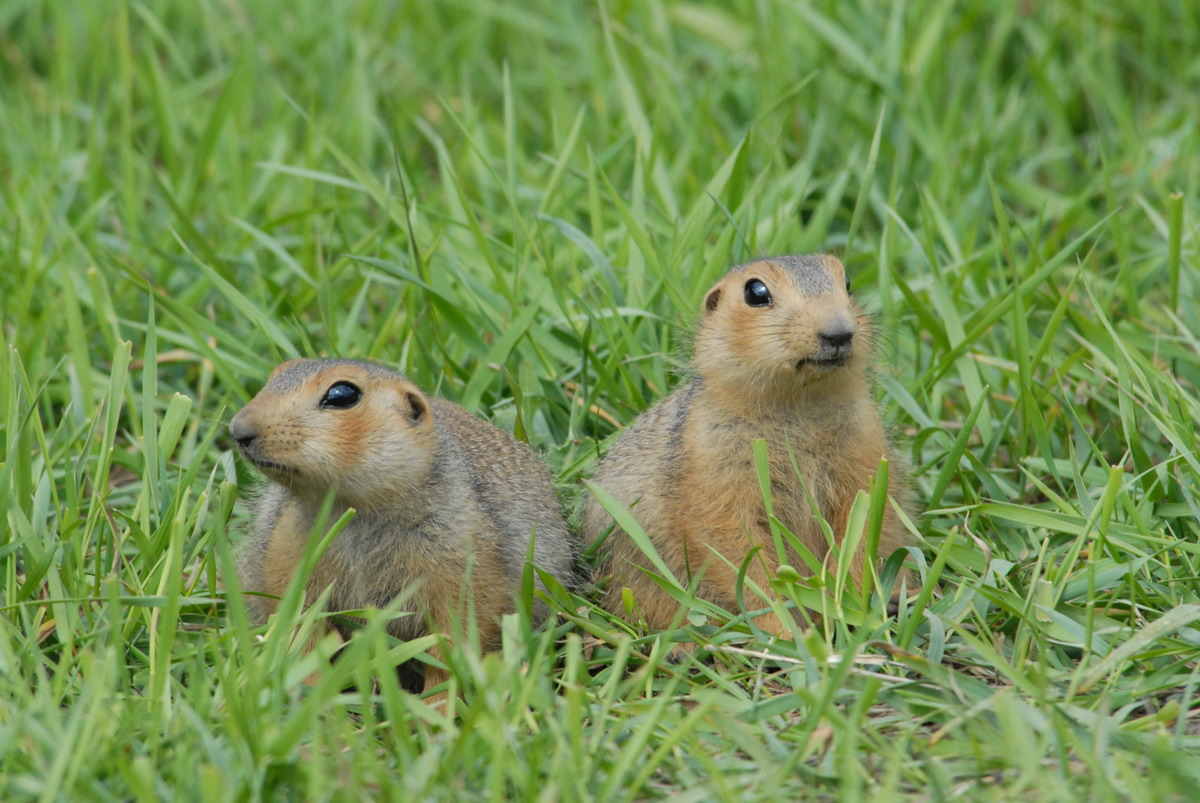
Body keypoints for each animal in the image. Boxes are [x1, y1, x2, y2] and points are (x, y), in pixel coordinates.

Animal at [231, 357, 578, 696]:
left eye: (342, 394)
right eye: (275, 375)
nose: (238, 429)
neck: (356, 511)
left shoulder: (463, 555)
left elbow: (457, 638)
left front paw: (439, 705)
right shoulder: (287, 551)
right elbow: (301, 631)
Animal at [580, 253, 907, 633]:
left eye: (848, 283)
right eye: (756, 292)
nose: (839, 332)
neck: (796, 403)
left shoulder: (864, 449)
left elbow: (863, 524)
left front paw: (847, 601)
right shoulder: (713, 467)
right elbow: (737, 553)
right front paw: (784, 629)